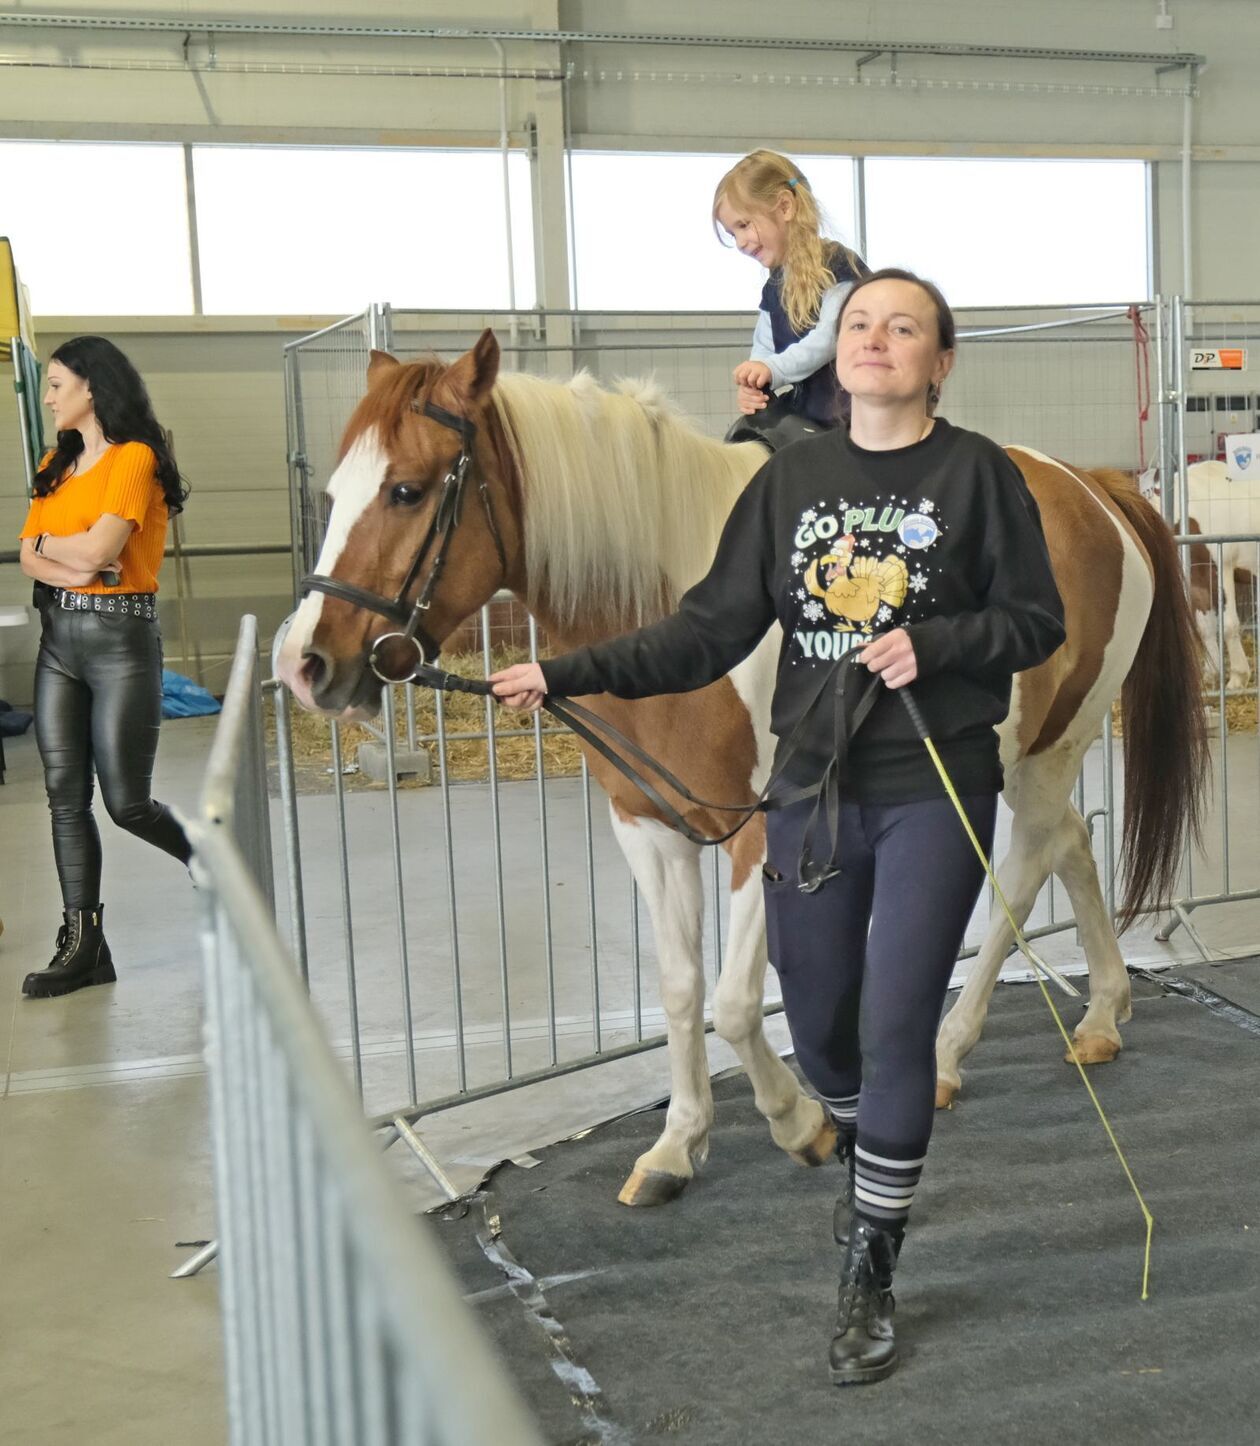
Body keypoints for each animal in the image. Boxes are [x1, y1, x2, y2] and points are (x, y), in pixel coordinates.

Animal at [277, 332, 1209, 1203]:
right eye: (332, 495)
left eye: (407, 489)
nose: (304, 664)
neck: (670, 602)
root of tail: (1091, 486)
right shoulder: (649, 828)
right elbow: (682, 987)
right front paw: (676, 1146)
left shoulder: (768, 834)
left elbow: (732, 1002)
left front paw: (799, 1123)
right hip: (1034, 754)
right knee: (1070, 844)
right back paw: (1102, 1015)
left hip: (1052, 748)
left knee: (1025, 865)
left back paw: (949, 1052)